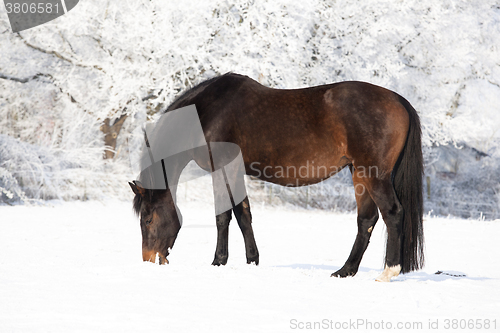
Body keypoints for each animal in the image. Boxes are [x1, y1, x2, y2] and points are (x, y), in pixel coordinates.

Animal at [128, 72, 422, 280]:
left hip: (373, 174)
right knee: (367, 220)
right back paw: (345, 271)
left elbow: (224, 217)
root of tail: (399, 100)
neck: (206, 111)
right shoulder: (234, 171)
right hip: (359, 173)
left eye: (148, 218)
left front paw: (218, 261)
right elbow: (243, 214)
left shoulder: (222, 168)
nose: (148, 259)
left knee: (392, 213)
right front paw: (252, 260)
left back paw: (388, 271)